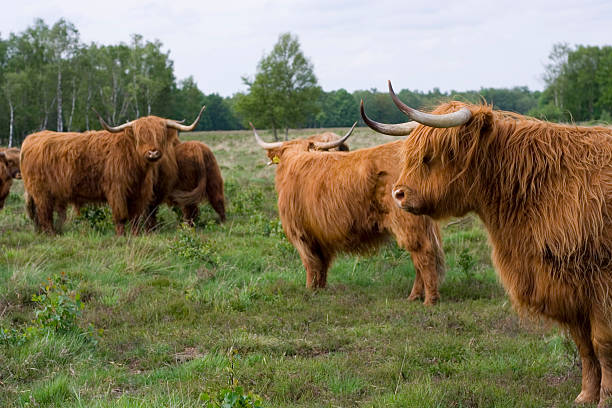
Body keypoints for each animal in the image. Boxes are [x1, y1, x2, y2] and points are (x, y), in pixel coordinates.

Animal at [20, 107, 206, 236]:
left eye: (160, 135)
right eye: (140, 136)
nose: (153, 153)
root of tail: (31, 138)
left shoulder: (139, 193)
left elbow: (136, 216)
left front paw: (135, 235)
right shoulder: (116, 190)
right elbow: (121, 215)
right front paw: (121, 235)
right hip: (41, 192)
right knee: (44, 214)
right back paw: (51, 235)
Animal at [252, 122, 444, 304]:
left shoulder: (300, 234)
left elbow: (310, 264)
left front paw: (309, 290)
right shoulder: (320, 234)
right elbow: (322, 264)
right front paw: (320, 289)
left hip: (408, 222)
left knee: (423, 254)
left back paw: (428, 299)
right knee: (423, 258)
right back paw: (415, 296)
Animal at [360, 79, 612, 404]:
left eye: (437, 154)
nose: (398, 194)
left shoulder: (600, 281)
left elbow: (602, 342)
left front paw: (605, 398)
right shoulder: (566, 287)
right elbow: (584, 344)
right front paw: (585, 395)